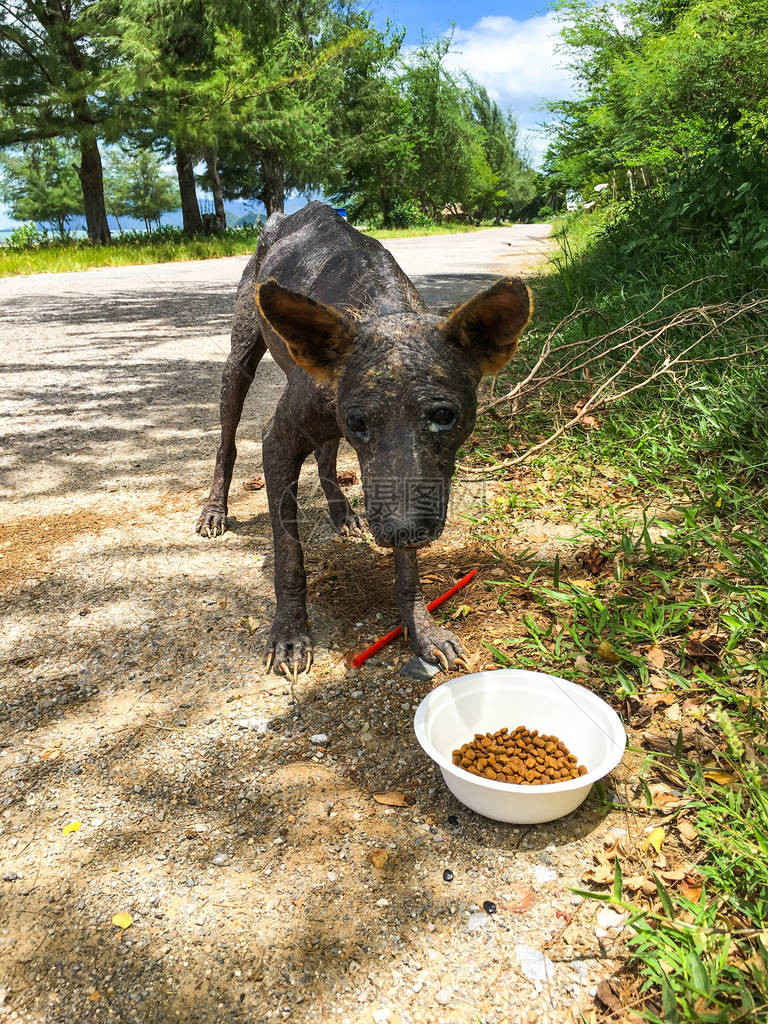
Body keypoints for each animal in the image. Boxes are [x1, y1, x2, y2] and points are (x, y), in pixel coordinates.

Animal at [198, 199, 532, 679]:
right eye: (359, 420)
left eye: (443, 416)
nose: (398, 530)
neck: (381, 308)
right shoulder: (279, 441)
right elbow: (288, 556)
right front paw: (290, 632)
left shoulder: (401, 479)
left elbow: (407, 568)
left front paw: (419, 627)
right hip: (239, 361)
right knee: (228, 439)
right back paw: (214, 510)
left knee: (325, 453)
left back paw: (342, 512)